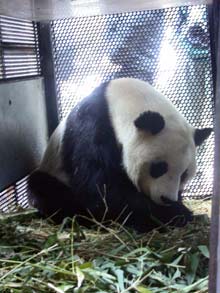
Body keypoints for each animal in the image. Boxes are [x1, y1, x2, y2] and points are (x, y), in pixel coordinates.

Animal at [27, 78, 211, 233]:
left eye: (184, 174)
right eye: (159, 168)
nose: (167, 199)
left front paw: (178, 208)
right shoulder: (92, 127)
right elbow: (100, 189)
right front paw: (171, 214)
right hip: (53, 170)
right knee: (45, 189)